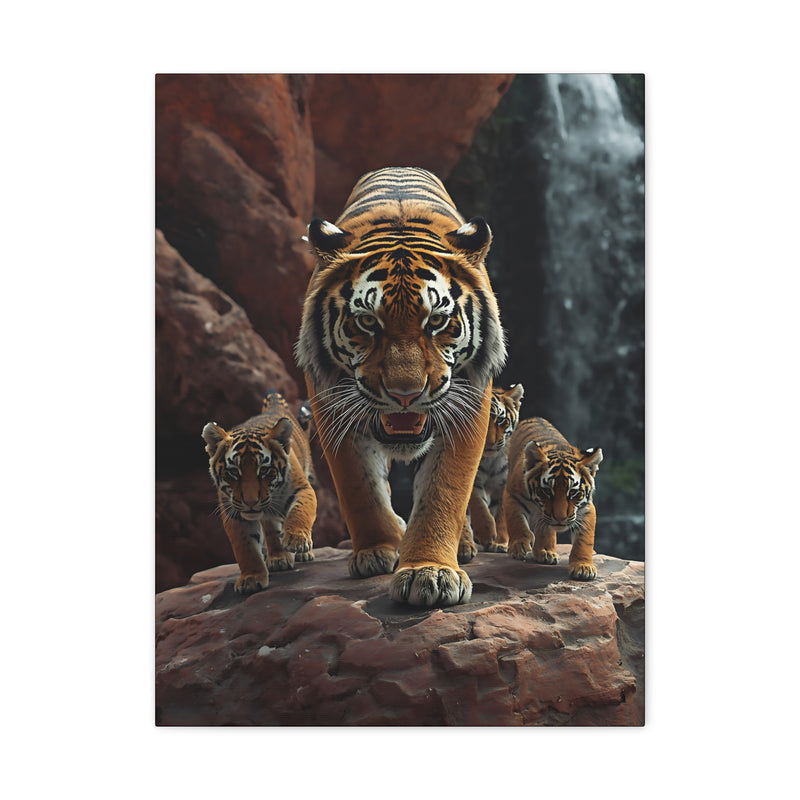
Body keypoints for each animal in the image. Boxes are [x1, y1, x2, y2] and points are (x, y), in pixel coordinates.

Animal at [201, 390, 317, 594]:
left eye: (264, 470)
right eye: (233, 471)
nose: (250, 502)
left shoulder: (302, 489)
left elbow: (300, 512)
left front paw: (296, 540)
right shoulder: (234, 512)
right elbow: (245, 547)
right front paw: (251, 578)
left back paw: (302, 553)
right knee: (271, 527)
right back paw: (279, 557)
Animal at [296, 167, 507, 606]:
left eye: (437, 321)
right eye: (367, 322)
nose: (405, 394)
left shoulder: (469, 405)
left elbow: (444, 491)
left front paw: (432, 572)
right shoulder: (330, 405)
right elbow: (359, 487)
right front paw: (377, 550)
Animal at [503, 416, 603, 580]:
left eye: (573, 492)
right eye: (546, 491)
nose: (560, 518)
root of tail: (533, 418)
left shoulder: (587, 508)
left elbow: (584, 539)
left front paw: (583, 567)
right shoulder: (512, 495)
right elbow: (516, 520)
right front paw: (519, 545)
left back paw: (546, 552)